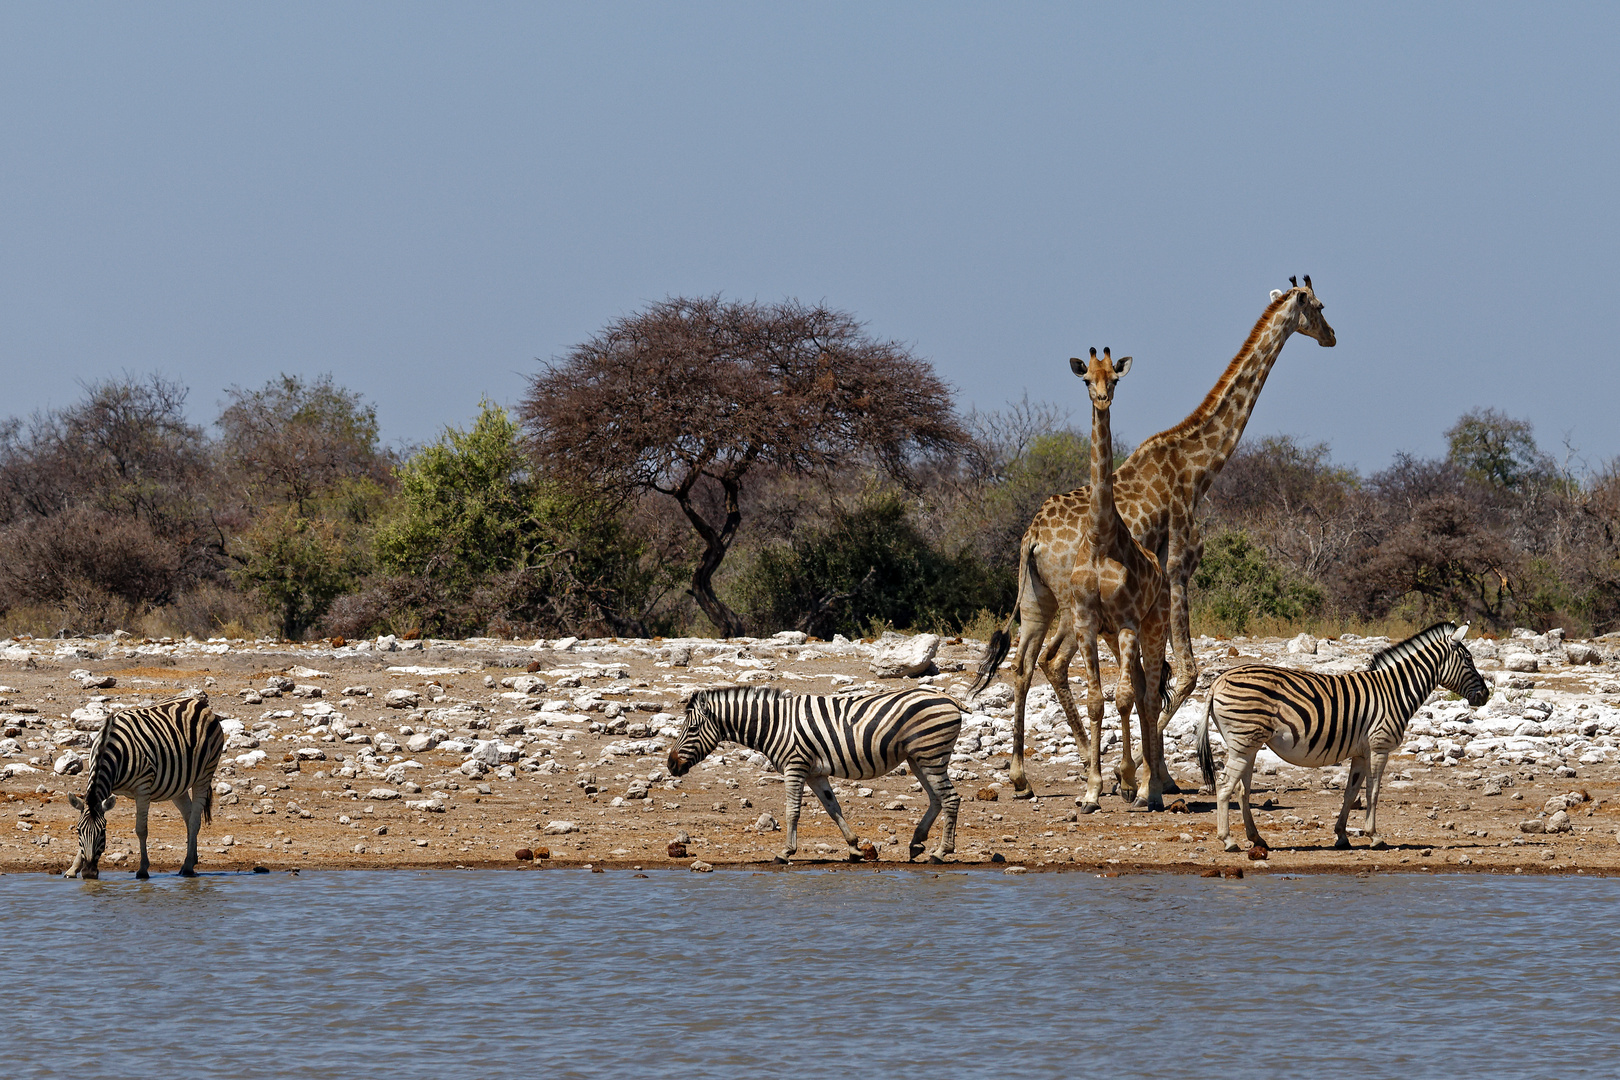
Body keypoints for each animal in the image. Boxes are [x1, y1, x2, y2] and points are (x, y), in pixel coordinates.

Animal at [65, 696, 228, 880]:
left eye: (103, 831)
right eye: (78, 830)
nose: (89, 873)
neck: (111, 747)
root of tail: (198, 702)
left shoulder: (142, 787)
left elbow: (141, 830)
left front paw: (143, 869)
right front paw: (73, 869)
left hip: (205, 773)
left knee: (194, 820)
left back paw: (187, 867)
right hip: (178, 784)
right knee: (189, 815)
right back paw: (191, 861)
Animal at [670, 689, 959, 867]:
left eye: (692, 729)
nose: (670, 764)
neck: (774, 724)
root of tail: (948, 697)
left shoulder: (795, 766)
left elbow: (792, 811)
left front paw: (785, 853)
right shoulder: (815, 773)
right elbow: (833, 808)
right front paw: (854, 849)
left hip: (931, 754)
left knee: (951, 798)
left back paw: (941, 853)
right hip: (918, 758)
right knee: (937, 798)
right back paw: (917, 843)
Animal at [965, 278, 1334, 803]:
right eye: (1319, 306)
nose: (1331, 336)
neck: (1198, 467)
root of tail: (1032, 536)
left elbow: (1147, 681)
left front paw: (1144, 774)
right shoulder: (1179, 567)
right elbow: (1183, 673)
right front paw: (1148, 775)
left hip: (1038, 599)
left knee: (1026, 665)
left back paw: (1025, 776)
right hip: (1071, 605)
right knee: (1055, 664)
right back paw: (1091, 769)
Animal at [1198, 625, 1483, 854]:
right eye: (1468, 660)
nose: (1486, 693)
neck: (1395, 692)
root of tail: (1218, 681)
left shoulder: (1360, 752)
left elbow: (1351, 793)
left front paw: (1342, 836)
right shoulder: (1379, 747)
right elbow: (1373, 791)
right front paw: (1374, 836)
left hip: (1247, 745)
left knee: (1241, 790)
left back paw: (1257, 839)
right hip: (1243, 742)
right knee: (1224, 785)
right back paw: (1228, 841)